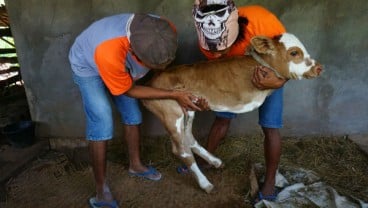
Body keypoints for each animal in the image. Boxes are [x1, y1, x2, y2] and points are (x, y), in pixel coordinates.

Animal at [141, 33, 322, 193]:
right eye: (294, 52)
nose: (319, 67)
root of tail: (151, 81)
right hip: (171, 113)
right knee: (181, 149)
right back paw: (206, 184)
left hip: (189, 109)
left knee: (189, 138)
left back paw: (215, 162)